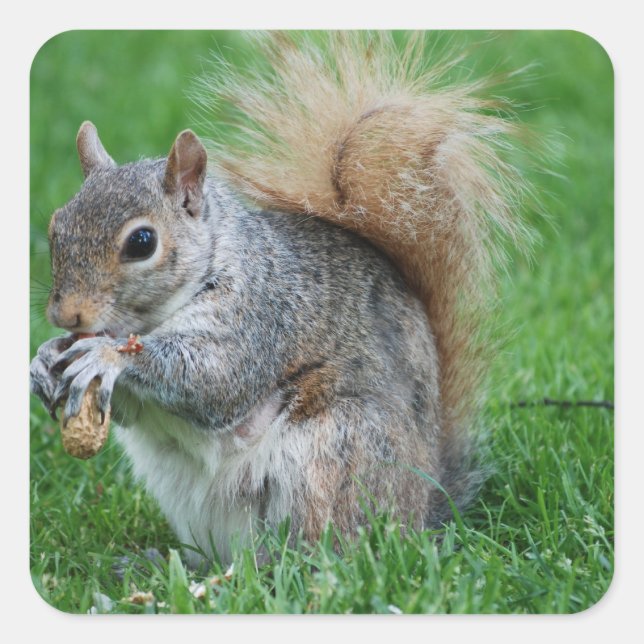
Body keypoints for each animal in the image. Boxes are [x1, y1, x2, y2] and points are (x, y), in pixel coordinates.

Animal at [30, 32, 528, 567]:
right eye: (56, 225)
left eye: (142, 242)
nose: (65, 313)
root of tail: (423, 511)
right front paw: (44, 359)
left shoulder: (261, 313)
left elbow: (214, 379)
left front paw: (105, 354)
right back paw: (169, 563)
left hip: (332, 456)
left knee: (318, 554)